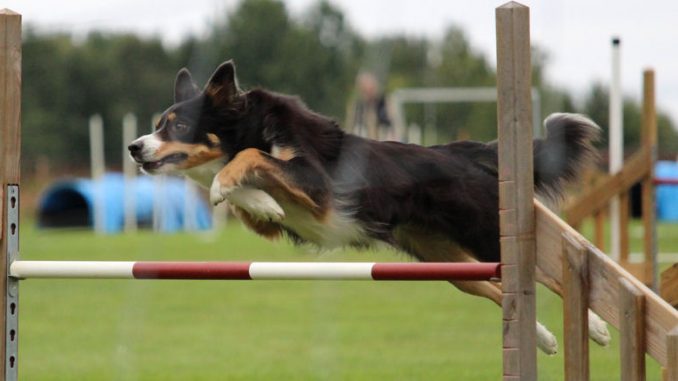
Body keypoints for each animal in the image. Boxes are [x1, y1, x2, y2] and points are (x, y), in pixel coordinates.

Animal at [130, 59, 612, 354]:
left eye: (179, 126)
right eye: (157, 125)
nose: (135, 147)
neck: (247, 126)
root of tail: (464, 153)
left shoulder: (319, 184)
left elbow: (250, 159)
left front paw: (226, 184)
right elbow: (248, 198)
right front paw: (261, 201)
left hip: (489, 236)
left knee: (550, 275)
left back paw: (594, 326)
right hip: (447, 262)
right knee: (496, 289)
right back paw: (545, 338)